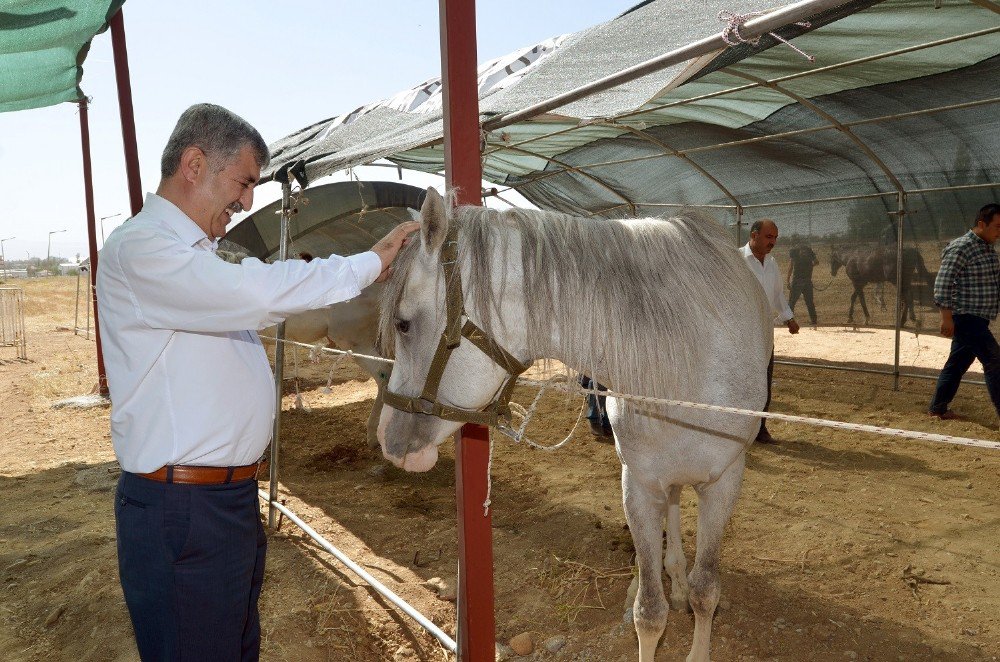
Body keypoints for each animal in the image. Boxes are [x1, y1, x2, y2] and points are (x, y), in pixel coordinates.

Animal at [376, 188, 772, 662]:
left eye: (403, 323)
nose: (388, 438)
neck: (683, 368)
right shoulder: (639, 485)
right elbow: (649, 611)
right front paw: (652, 591)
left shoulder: (724, 483)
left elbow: (705, 591)